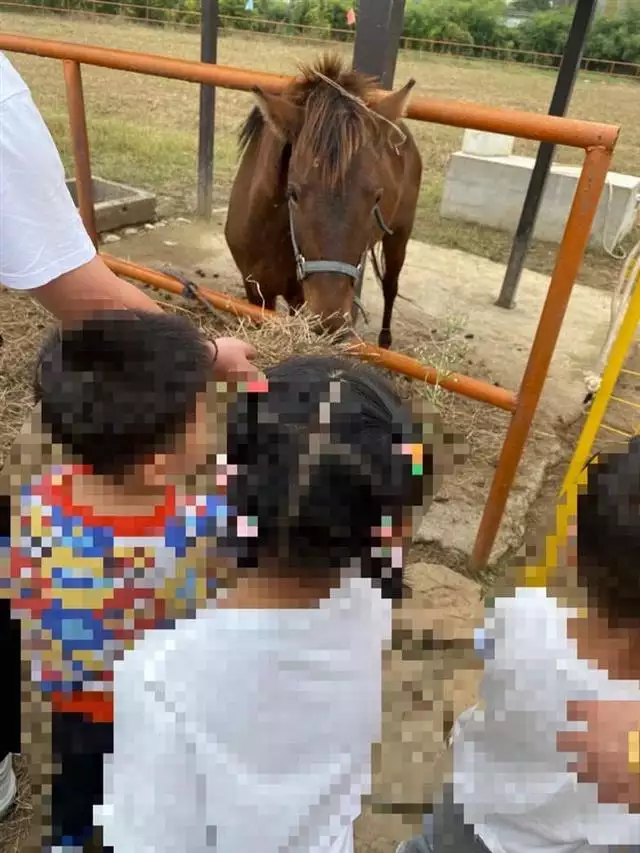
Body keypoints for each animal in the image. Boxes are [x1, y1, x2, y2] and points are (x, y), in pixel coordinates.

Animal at [226, 55, 424, 348]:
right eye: (293, 193)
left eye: (376, 197)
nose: (331, 319)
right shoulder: (255, 291)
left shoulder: (299, 297)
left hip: (399, 235)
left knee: (390, 286)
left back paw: (385, 340)